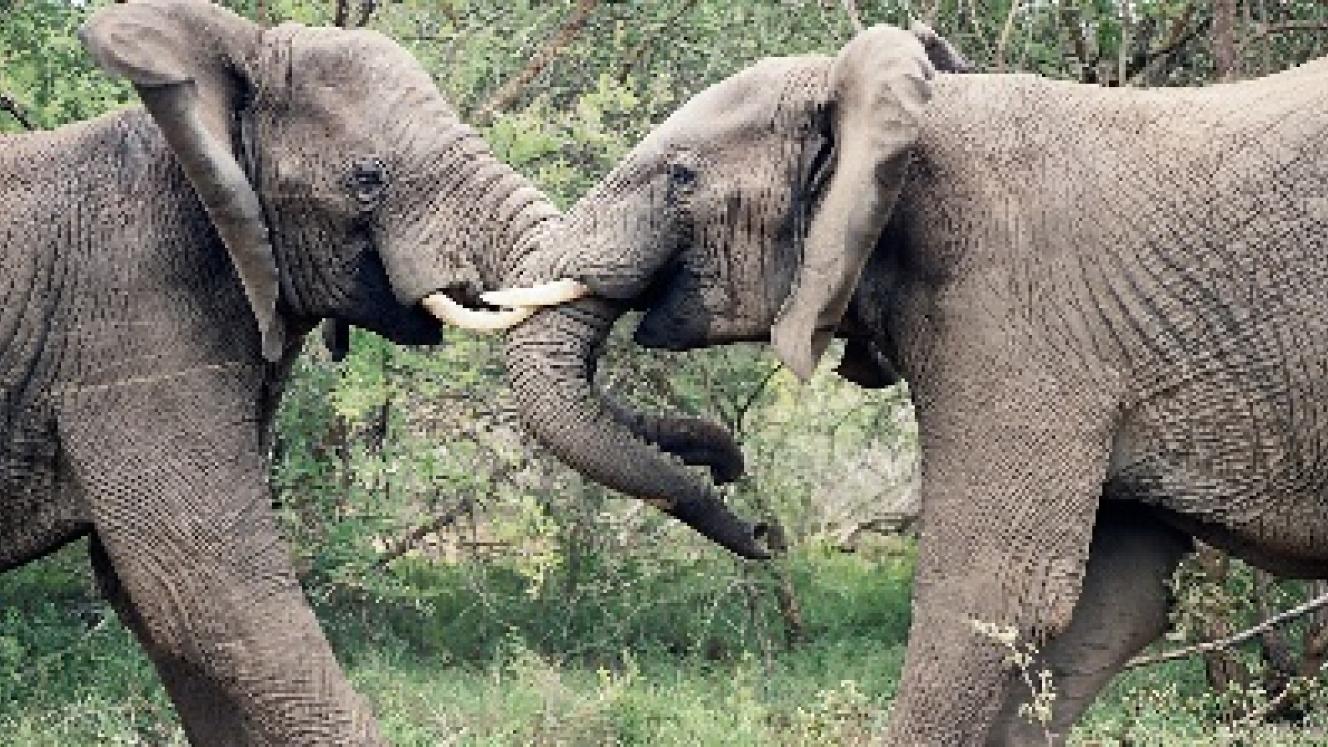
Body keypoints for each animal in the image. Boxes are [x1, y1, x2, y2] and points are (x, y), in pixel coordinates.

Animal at [496, 21, 1328, 745]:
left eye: (681, 175)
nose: (757, 527)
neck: (914, 113)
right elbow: (1110, 605)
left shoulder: (1016, 318)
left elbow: (989, 595)